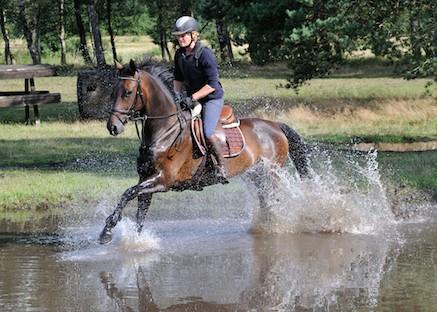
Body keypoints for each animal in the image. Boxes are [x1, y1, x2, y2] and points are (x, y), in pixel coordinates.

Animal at [99, 59, 310, 244]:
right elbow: (140, 209)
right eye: (112, 93)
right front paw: (133, 241)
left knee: (275, 199)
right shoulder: (146, 178)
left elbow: (128, 193)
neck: (166, 130)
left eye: (127, 93)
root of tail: (275, 125)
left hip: (271, 173)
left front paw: (107, 230)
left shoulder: (163, 180)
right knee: (267, 200)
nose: (113, 127)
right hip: (256, 175)